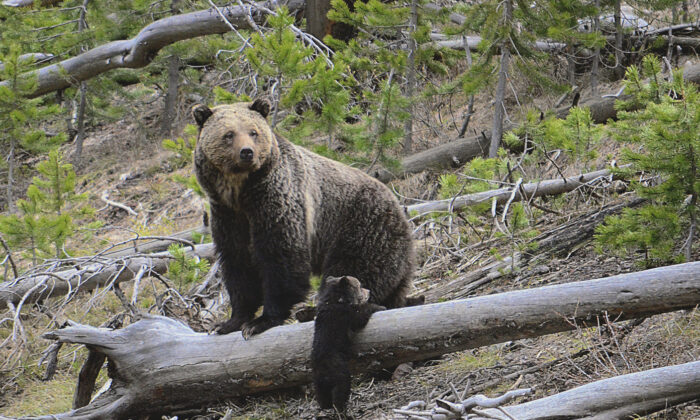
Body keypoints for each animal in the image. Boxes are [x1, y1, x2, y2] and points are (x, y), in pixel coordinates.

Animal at [193, 97, 416, 338]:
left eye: (253, 132)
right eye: (229, 134)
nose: (247, 152)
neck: (240, 193)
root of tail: (400, 209)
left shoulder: (277, 201)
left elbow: (282, 257)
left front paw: (262, 321)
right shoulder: (227, 215)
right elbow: (238, 264)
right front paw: (229, 322)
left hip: (362, 226)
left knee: (353, 270)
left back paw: (312, 310)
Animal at [312, 274, 386, 416]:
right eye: (360, 286)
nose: (369, 291)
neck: (337, 300)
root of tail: (322, 368)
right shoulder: (345, 314)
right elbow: (360, 317)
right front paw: (379, 306)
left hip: (318, 379)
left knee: (321, 394)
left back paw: (325, 406)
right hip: (338, 369)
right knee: (341, 389)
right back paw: (342, 411)